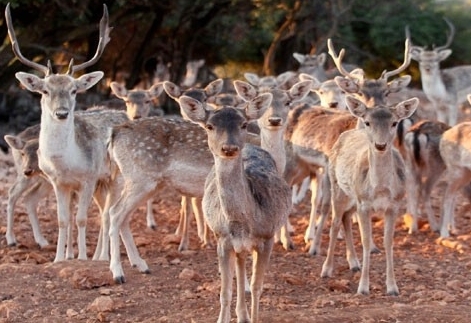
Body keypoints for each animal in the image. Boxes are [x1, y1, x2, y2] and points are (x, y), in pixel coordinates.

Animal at [5, 3, 120, 262]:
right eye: (45, 90)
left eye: (74, 90)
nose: (62, 113)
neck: (66, 162)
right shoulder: (59, 183)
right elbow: (63, 220)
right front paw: (59, 258)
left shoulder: (88, 178)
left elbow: (82, 219)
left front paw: (82, 258)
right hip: (100, 183)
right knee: (105, 212)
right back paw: (99, 255)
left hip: (115, 177)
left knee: (109, 213)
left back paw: (103, 257)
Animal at [179, 92, 294, 323]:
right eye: (209, 126)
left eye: (244, 124)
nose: (229, 148)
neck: (242, 223)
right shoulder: (222, 239)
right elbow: (225, 292)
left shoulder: (267, 237)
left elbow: (258, 287)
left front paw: (255, 317)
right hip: (234, 245)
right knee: (240, 266)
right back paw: (242, 315)